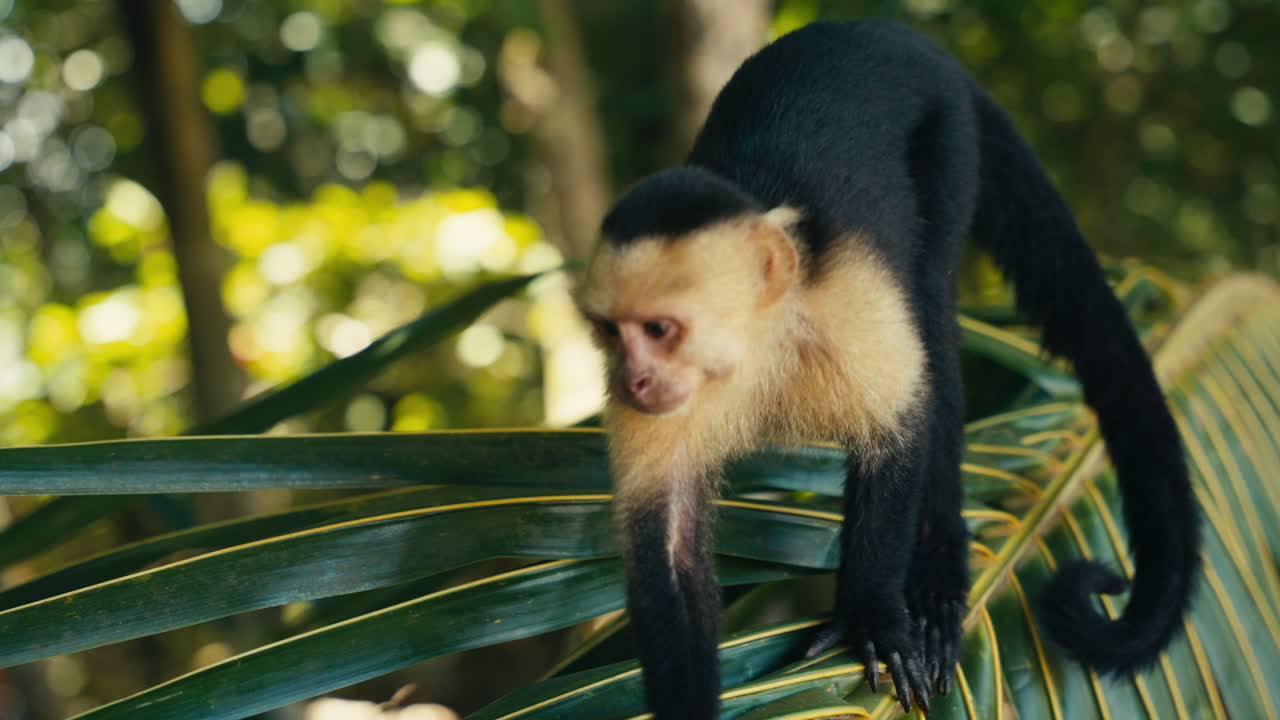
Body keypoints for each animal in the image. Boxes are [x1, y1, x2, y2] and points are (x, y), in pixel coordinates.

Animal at [574, 19, 1200, 719]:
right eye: (611, 331)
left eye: (660, 329)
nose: (632, 379)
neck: (755, 348)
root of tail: (886, 29)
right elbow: (670, 549)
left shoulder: (845, 302)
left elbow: (900, 430)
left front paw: (870, 618)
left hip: (947, 131)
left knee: (930, 314)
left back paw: (938, 584)